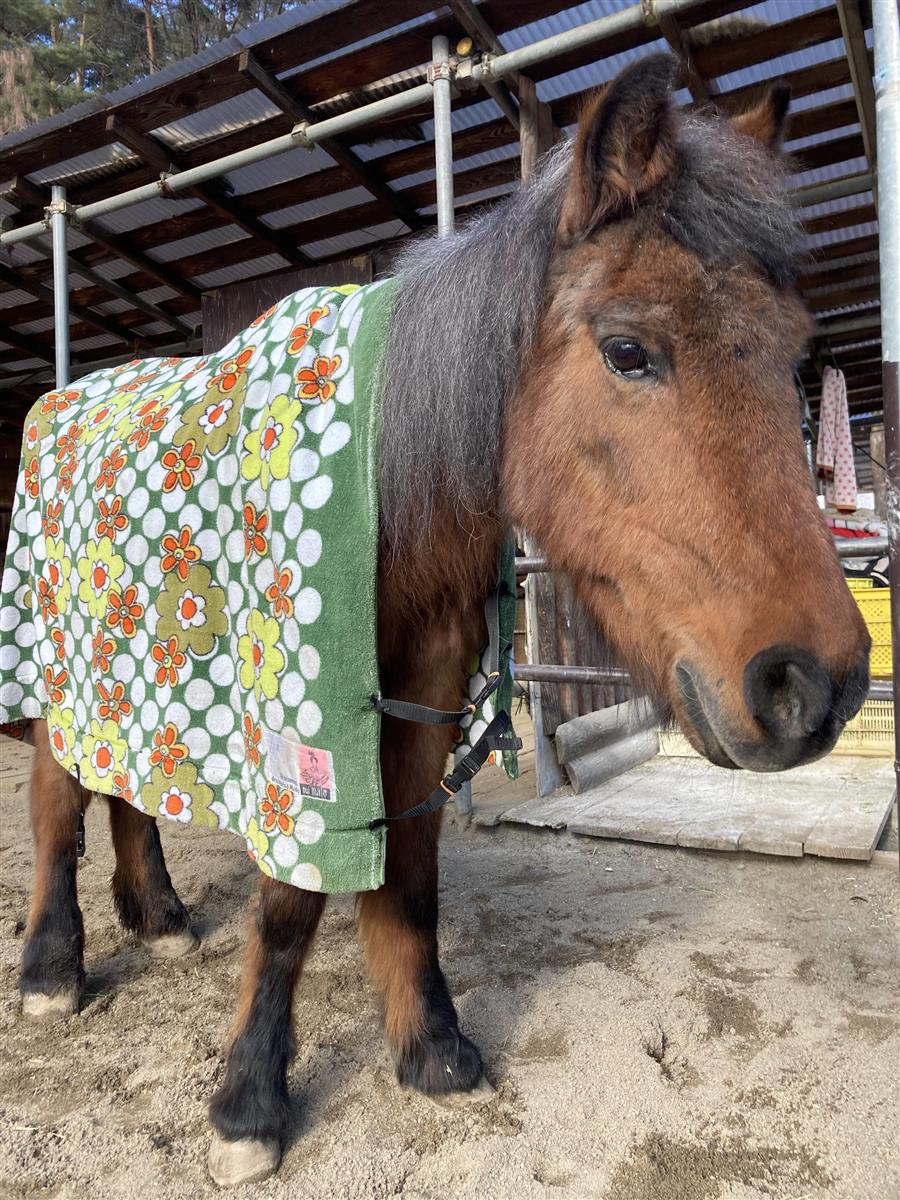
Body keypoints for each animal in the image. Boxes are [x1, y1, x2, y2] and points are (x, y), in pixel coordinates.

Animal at [14, 54, 873, 1180]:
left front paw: (430, 1046)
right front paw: (248, 1101)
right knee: (56, 801)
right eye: (629, 350)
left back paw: (157, 916)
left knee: (125, 790)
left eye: (792, 354)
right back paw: (49, 967)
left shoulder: (419, 705)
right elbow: (289, 906)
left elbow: (412, 878)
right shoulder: (300, 728)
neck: (385, 493)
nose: (816, 684)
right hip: (58, 667)